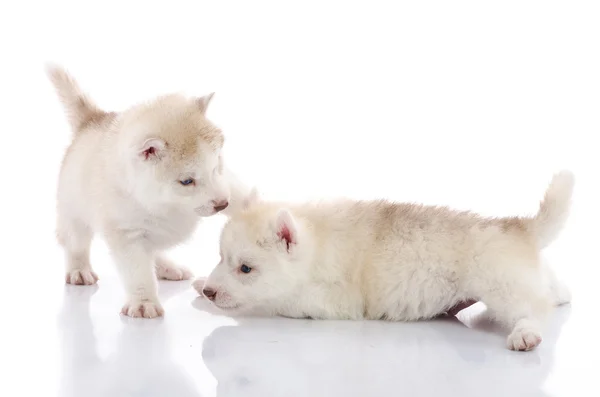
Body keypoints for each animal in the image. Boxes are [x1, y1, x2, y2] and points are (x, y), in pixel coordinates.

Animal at [47, 65, 251, 318]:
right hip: (74, 212)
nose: (222, 204)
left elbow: (238, 194)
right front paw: (143, 302)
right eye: (187, 181)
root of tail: (94, 119)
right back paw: (79, 269)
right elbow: (138, 270)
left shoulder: (225, 183)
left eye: (217, 167)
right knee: (75, 243)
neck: (165, 204)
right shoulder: (127, 234)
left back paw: (168, 267)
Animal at [196, 172, 572, 350]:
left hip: (500, 285)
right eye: (221, 258)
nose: (212, 292)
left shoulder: (331, 301)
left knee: (534, 310)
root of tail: (520, 227)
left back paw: (526, 333)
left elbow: (272, 301)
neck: (316, 242)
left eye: (245, 268)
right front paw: (201, 283)